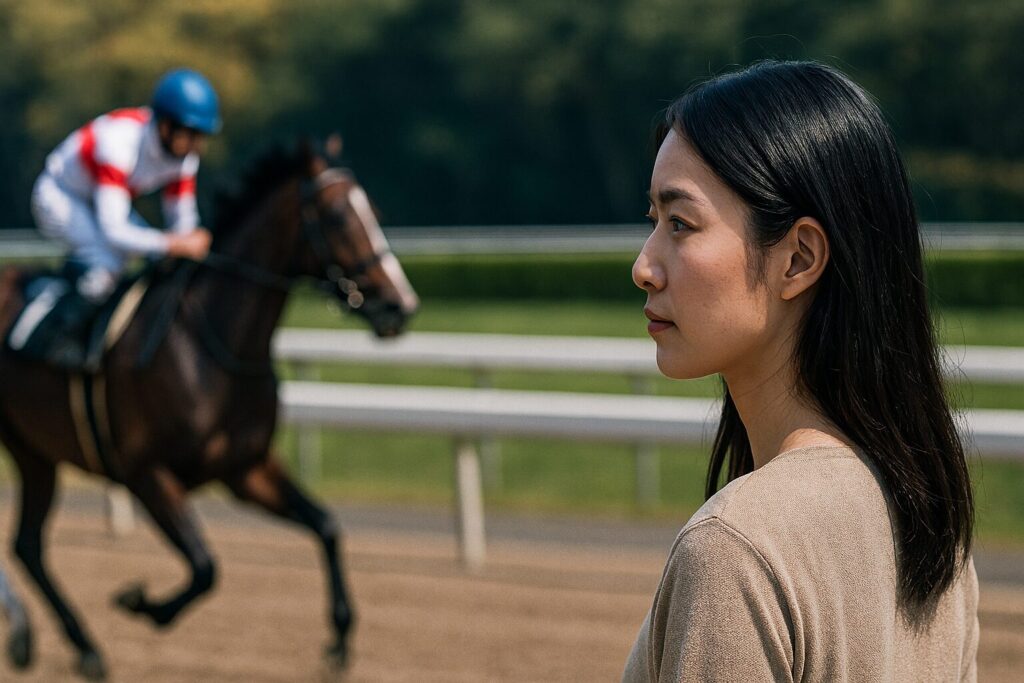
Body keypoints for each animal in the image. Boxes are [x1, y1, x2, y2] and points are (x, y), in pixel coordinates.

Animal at [0, 139, 419, 679]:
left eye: (376, 213)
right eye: (336, 217)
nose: (399, 306)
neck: (212, 348)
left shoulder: (245, 468)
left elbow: (325, 527)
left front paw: (340, 640)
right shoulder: (146, 471)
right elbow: (205, 568)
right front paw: (143, 604)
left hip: (34, 450)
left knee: (27, 545)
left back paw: (74, 645)